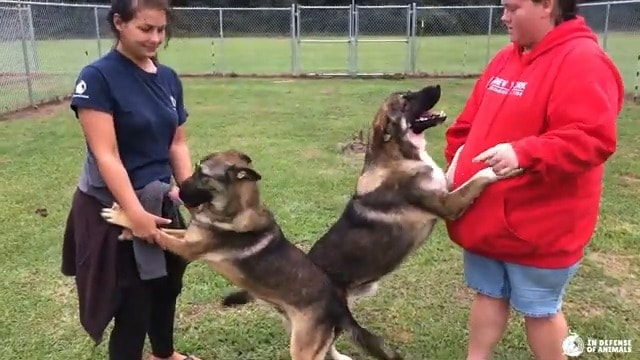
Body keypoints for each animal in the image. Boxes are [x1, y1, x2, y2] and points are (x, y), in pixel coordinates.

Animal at [100, 149, 402, 360]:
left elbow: (161, 234)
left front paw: (123, 216)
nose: (177, 190)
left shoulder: (189, 249)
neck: (233, 210)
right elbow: (160, 229)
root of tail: (339, 304)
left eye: (203, 175)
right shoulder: (189, 238)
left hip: (302, 348)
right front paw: (131, 230)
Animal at [222, 85, 524, 360]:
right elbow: (478, 178)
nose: (437, 86)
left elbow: (454, 174)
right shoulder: (449, 204)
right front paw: (502, 165)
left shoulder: (446, 190)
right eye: (405, 99)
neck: (399, 154)